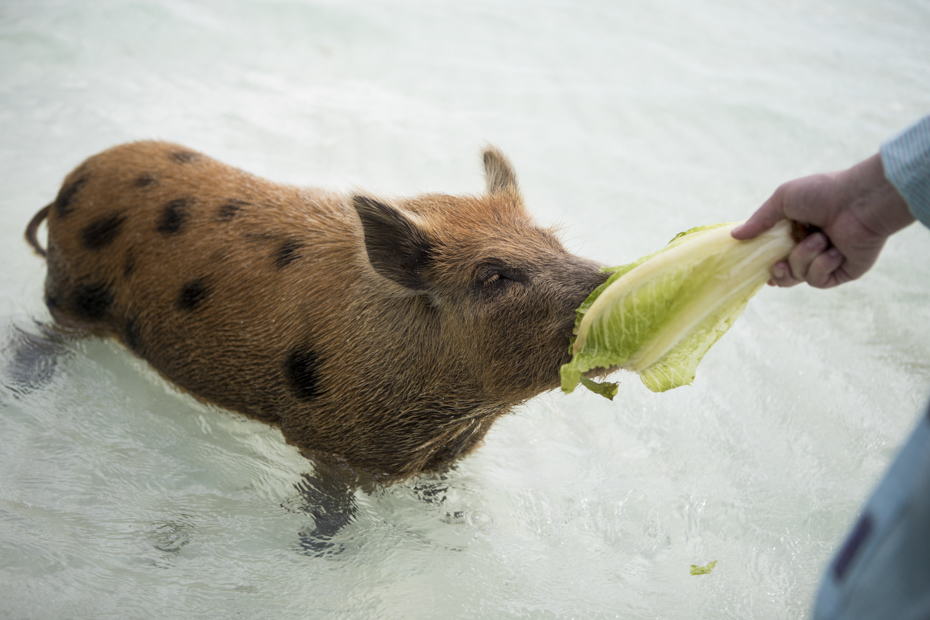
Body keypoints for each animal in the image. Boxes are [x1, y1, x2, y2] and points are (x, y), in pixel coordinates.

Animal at [24, 141, 608, 483]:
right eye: (492, 276)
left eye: (552, 241)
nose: (605, 279)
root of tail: (68, 184)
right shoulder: (331, 444)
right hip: (71, 296)